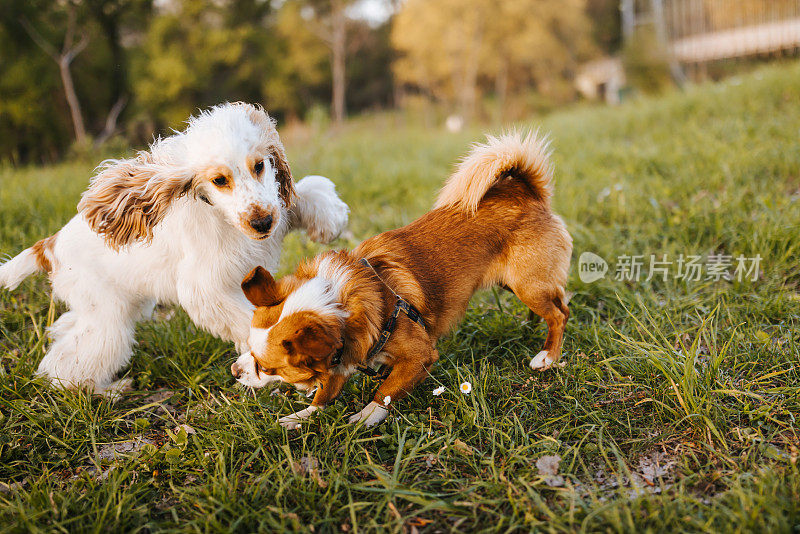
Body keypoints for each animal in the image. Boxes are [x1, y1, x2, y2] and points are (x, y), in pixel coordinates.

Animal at [0, 103, 350, 394]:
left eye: (260, 165)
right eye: (219, 180)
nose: (262, 223)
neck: (221, 215)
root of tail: (50, 245)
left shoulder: (274, 211)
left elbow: (306, 193)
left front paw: (330, 222)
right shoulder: (205, 288)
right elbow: (249, 320)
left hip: (106, 307)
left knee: (66, 333)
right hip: (108, 320)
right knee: (65, 367)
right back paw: (107, 392)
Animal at [228, 132, 572, 430]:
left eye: (267, 368)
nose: (234, 371)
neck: (339, 300)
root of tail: (526, 192)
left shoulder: (419, 357)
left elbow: (387, 390)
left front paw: (367, 416)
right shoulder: (343, 358)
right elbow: (324, 394)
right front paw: (301, 416)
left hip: (528, 284)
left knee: (560, 312)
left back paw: (548, 355)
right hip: (516, 284)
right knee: (556, 303)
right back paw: (531, 327)